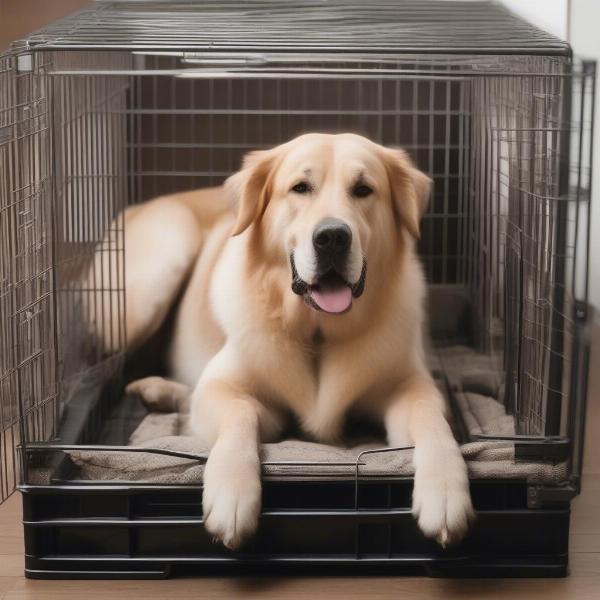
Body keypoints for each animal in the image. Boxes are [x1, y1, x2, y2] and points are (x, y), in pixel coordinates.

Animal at [89, 134, 474, 552]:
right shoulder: (223, 385)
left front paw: (446, 491)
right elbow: (241, 411)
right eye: (300, 188)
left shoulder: (410, 384)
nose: (332, 237)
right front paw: (232, 493)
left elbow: (431, 418)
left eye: (363, 189)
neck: (318, 333)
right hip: (157, 275)